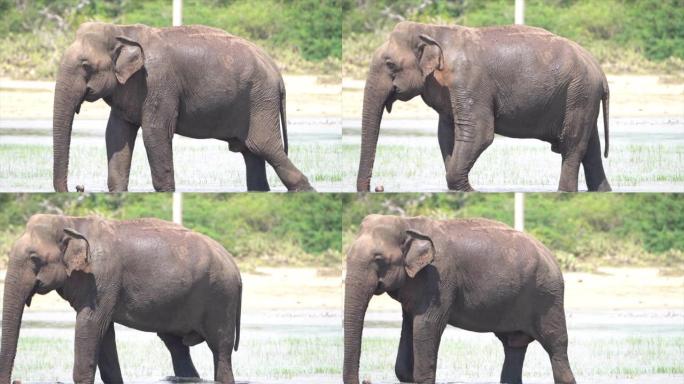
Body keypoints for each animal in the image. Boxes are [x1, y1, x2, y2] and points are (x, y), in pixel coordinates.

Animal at [1, 214, 242, 384]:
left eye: (34, 258)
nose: (15, 380)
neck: (70, 221)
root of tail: (234, 265)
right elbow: (104, 332)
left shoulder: (101, 279)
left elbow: (90, 324)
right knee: (177, 347)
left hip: (221, 298)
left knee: (220, 350)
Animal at [53, 21, 316, 192]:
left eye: (85, 65)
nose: (78, 187)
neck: (121, 30)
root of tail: (278, 74)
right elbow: (117, 134)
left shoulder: (158, 83)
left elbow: (155, 133)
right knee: (252, 154)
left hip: (260, 99)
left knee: (265, 147)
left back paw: (305, 189)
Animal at [344, 214, 576, 384]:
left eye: (378, 259)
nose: (366, 380)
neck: (408, 223)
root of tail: (552, 258)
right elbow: (407, 340)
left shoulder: (438, 279)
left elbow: (428, 325)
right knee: (513, 345)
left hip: (548, 296)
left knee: (556, 345)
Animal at [356, 21, 612, 192]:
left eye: (390, 64)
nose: (378, 188)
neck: (432, 29)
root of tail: (600, 72)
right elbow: (446, 134)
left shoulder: (468, 80)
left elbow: (479, 133)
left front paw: (469, 190)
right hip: (582, 97)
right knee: (591, 149)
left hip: (579, 94)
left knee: (572, 146)